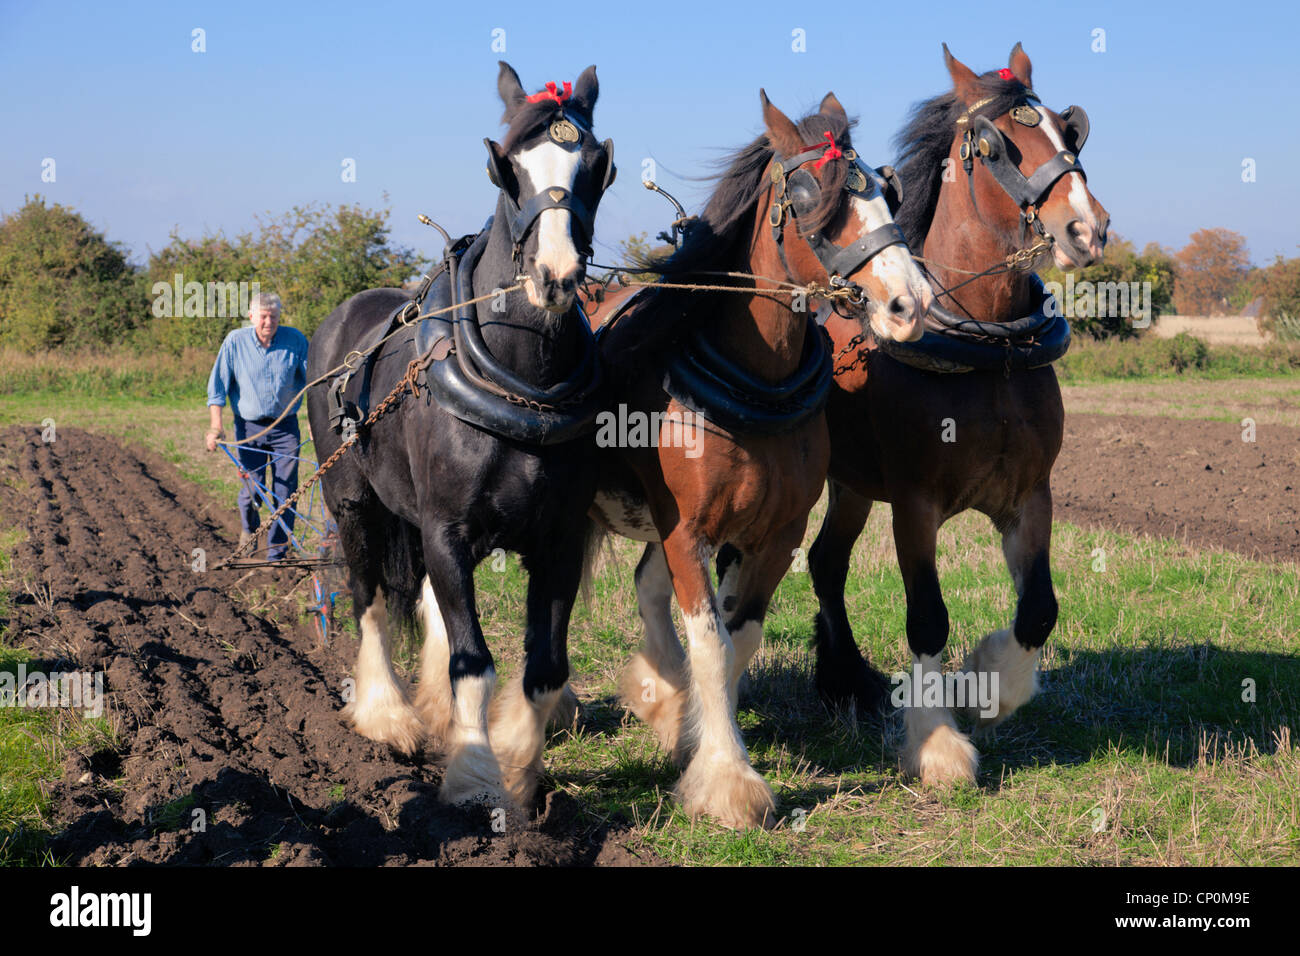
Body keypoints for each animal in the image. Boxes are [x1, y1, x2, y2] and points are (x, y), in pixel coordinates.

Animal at [304, 61, 613, 806]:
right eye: (507, 169)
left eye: (597, 166)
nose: (556, 278)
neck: (519, 381)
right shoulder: (447, 530)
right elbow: (473, 660)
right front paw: (475, 779)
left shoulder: (559, 540)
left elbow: (543, 664)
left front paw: (519, 769)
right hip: (353, 505)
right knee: (368, 599)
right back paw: (386, 715)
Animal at [590, 89, 935, 827]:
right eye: (812, 200)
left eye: (885, 189)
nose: (911, 302)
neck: (754, 380)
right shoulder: (687, 532)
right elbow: (712, 644)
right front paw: (729, 782)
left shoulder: (778, 533)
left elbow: (739, 639)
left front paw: (699, 739)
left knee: (646, 587)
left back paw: (667, 703)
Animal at [811, 42, 1107, 785]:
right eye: (994, 142)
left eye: (1071, 129)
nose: (1087, 227)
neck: (987, 347)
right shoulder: (915, 505)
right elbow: (927, 618)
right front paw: (938, 743)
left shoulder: (1030, 496)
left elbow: (1039, 609)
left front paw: (990, 685)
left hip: (852, 486)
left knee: (826, 564)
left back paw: (842, 680)